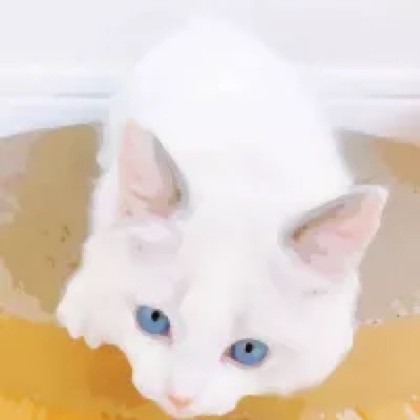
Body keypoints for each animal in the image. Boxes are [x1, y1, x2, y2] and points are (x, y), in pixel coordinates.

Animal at [56, 18, 388, 418]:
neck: (241, 175)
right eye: (153, 319)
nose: (179, 398)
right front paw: (83, 313)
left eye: (249, 351)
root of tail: (213, 23)